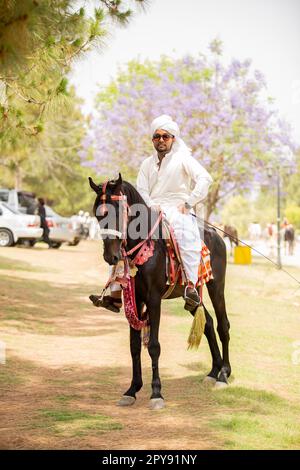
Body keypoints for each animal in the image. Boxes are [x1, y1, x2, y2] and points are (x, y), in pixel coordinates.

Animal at [89, 173, 230, 408]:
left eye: (119, 212)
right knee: (208, 323)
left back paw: (224, 375)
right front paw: (132, 390)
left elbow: (154, 346)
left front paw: (156, 393)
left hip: (216, 287)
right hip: (192, 298)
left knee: (222, 325)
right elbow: (134, 346)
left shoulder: (154, 299)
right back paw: (213, 371)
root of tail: (217, 235)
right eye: (98, 215)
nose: (111, 257)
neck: (147, 245)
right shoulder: (136, 299)